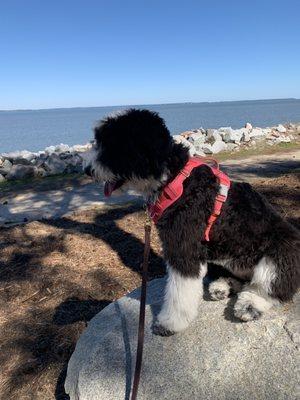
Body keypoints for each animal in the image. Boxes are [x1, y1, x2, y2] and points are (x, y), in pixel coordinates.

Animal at [84, 108, 300, 336]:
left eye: (113, 146)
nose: (87, 170)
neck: (175, 179)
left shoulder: (183, 248)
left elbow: (179, 291)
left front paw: (169, 323)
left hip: (282, 250)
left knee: (269, 287)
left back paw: (250, 304)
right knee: (238, 280)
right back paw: (221, 286)